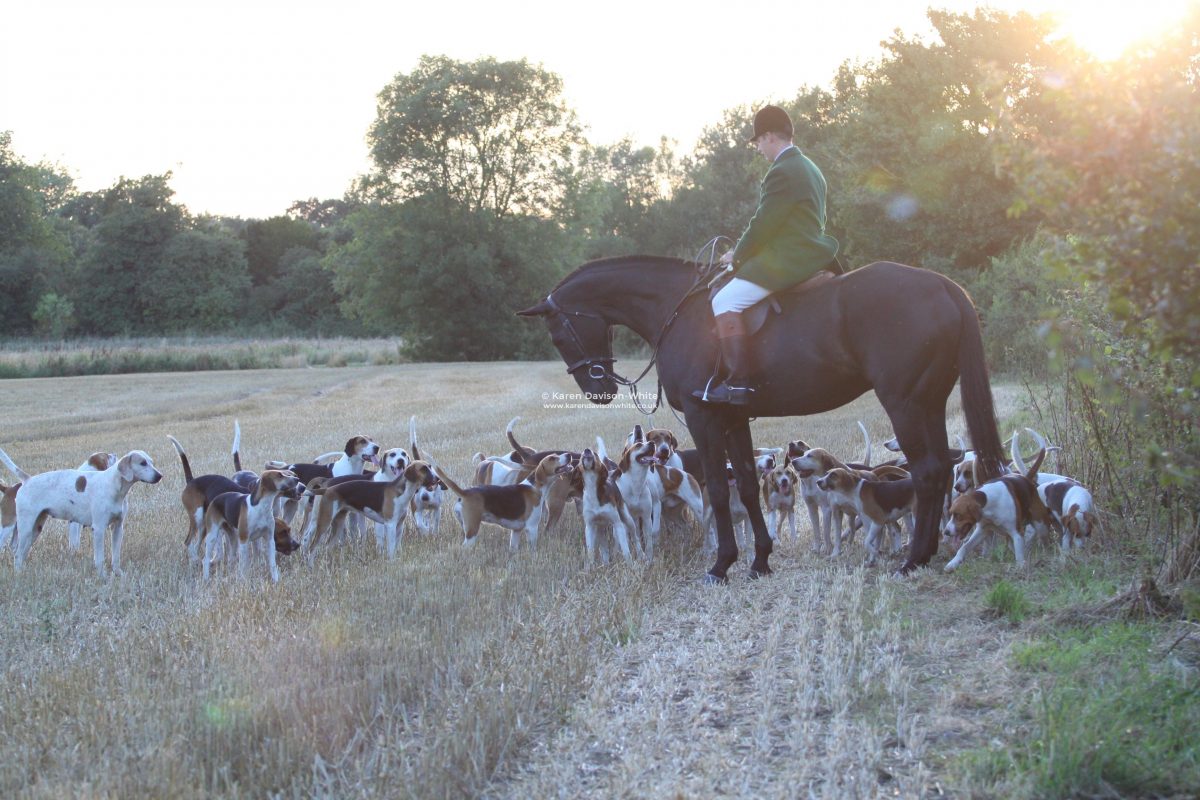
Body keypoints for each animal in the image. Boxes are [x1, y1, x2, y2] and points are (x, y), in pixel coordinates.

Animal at [1, 449, 162, 576]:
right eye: (142, 463)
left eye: (151, 462)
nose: (160, 475)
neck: (113, 486)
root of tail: (27, 480)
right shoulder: (99, 529)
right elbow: (99, 558)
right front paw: (102, 577)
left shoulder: (117, 528)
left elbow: (116, 557)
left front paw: (118, 574)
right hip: (25, 528)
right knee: (17, 554)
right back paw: (18, 575)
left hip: (35, 529)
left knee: (21, 553)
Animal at [440, 452, 572, 551]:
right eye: (552, 458)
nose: (569, 454)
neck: (535, 487)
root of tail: (465, 492)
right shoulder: (532, 528)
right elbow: (533, 549)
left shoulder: (516, 531)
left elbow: (513, 548)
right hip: (472, 530)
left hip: (465, 527)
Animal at [517, 255, 1006, 582]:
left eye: (558, 333)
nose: (596, 390)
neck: (678, 310)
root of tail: (945, 287)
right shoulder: (735, 420)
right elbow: (749, 486)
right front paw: (760, 559)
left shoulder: (705, 418)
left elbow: (718, 490)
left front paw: (721, 564)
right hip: (929, 403)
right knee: (939, 470)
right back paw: (924, 553)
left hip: (905, 403)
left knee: (927, 473)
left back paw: (913, 559)